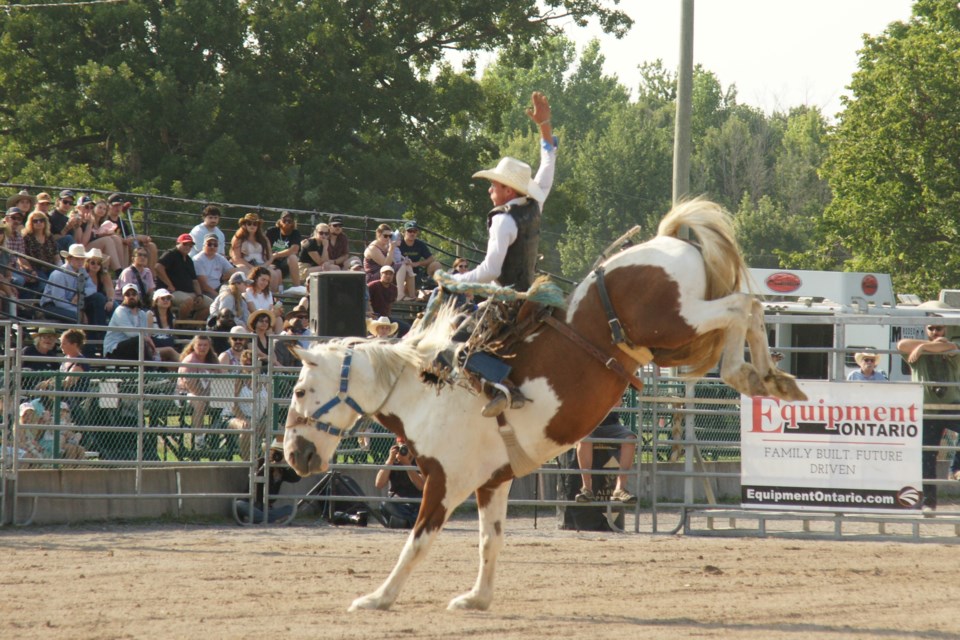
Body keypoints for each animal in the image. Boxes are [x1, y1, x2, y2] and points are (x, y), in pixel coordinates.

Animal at [284, 199, 804, 608]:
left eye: (300, 390)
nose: (293, 455)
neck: (424, 390)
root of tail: (668, 239)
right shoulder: (492, 482)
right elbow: (489, 540)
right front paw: (477, 598)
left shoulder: (446, 481)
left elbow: (417, 542)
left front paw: (377, 598)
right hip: (673, 343)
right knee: (743, 315)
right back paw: (768, 378)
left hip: (678, 321)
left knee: (744, 306)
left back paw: (761, 375)